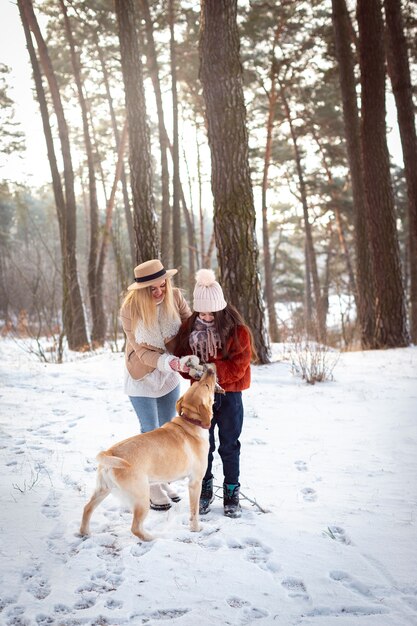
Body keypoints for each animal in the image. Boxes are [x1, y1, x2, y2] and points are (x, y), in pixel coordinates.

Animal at [80, 366, 218, 540]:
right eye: (205, 385)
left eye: (198, 382)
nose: (210, 370)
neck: (190, 422)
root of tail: (110, 452)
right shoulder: (195, 482)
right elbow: (194, 512)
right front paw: (196, 528)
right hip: (142, 498)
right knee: (135, 528)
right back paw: (152, 538)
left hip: (103, 490)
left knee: (87, 508)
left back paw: (84, 532)